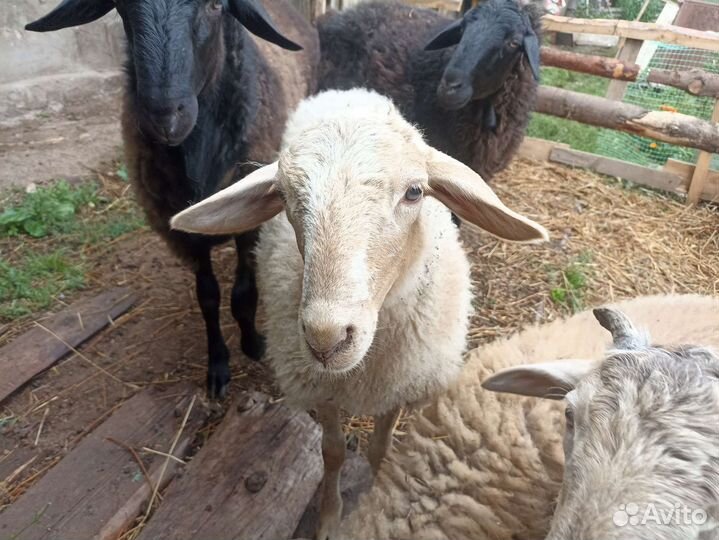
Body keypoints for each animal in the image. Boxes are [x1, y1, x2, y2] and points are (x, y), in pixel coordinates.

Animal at [26, 0, 319, 399]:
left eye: (215, 6)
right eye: (121, 8)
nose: (164, 117)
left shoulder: (250, 225)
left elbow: (243, 293)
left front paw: (252, 344)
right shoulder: (179, 229)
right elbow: (207, 297)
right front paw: (218, 365)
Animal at [169, 88, 549, 540]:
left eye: (415, 192)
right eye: (283, 196)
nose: (326, 338)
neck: (364, 368)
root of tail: (348, 92)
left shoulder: (398, 385)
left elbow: (380, 448)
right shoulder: (322, 389)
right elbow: (331, 452)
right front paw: (330, 517)